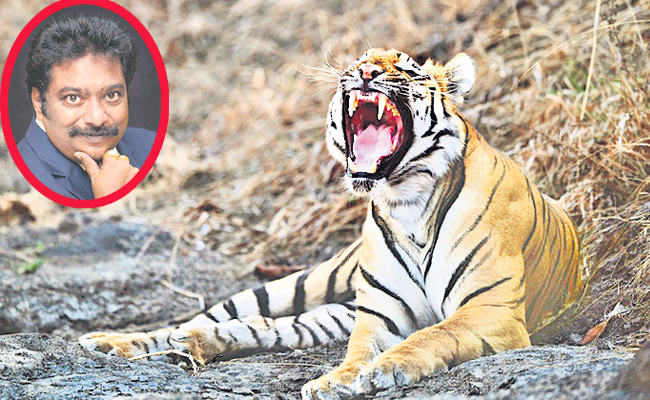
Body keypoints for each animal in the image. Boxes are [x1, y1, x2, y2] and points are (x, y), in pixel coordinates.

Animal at [79, 48, 583, 399]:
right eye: (362, 60)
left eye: (406, 69)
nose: (366, 73)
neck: (407, 202)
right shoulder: (378, 313)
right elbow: (359, 350)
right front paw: (338, 379)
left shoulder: (490, 309)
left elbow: (434, 332)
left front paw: (382, 369)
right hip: (307, 282)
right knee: (224, 315)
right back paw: (113, 342)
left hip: (332, 310)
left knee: (266, 327)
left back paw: (193, 343)